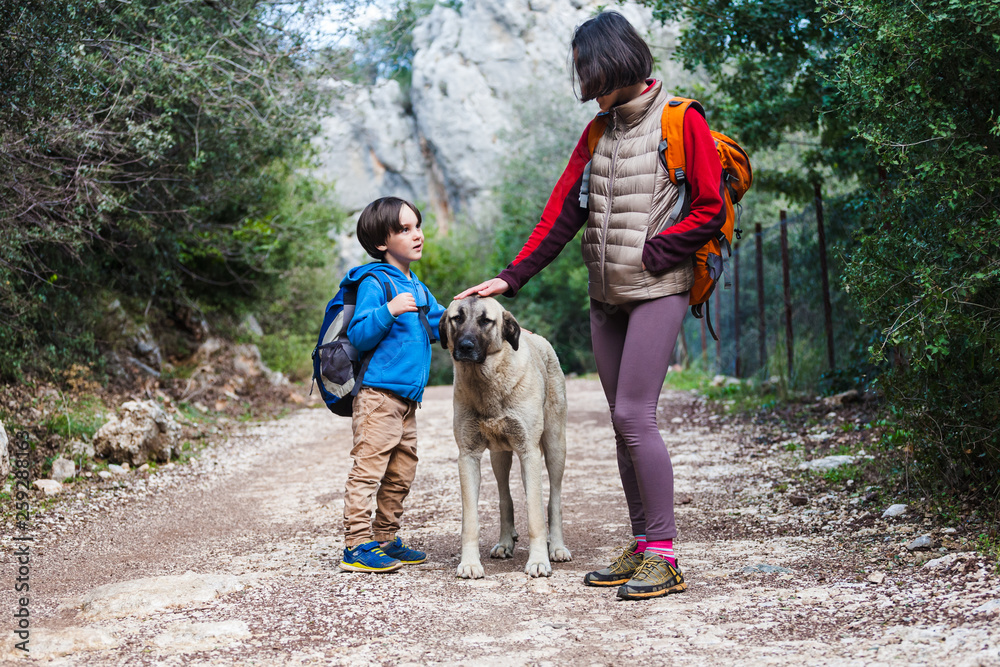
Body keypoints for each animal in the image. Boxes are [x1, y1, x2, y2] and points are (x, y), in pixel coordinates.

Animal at [440, 298, 572, 580]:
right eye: (457, 318)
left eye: (485, 320)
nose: (465, 346)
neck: (487, 381)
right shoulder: (468, 456)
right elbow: (470, 521)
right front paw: (470, 563)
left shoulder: (529, 452)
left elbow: (535, 517)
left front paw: (538, 561)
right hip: (499, 457)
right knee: (505, 497)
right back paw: (505, 542)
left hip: (555, 446)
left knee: (553, 500)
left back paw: (557, 547)